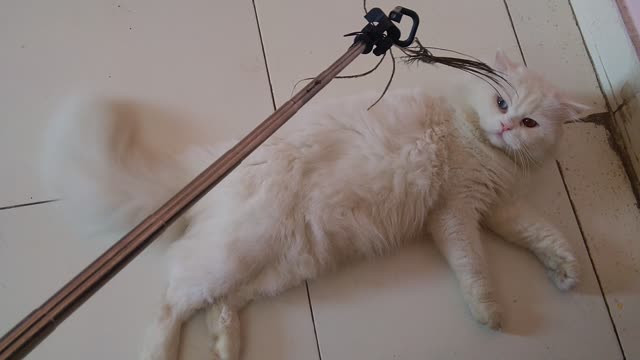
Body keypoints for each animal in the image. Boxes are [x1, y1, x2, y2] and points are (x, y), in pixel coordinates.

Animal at [41, 51, 592, 360]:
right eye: (502, 104)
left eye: (529, 123)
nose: (505, 126)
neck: (485, 149)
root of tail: (214, 163)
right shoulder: (456, 213)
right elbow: (474, 266)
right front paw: (490, 312)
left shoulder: (498, 207)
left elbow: (543, 233)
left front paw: (567, 271)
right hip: (237, 254)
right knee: (173, 299)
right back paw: (162, 354)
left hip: (282, 263)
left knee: (222, 304)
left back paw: (226, 348)